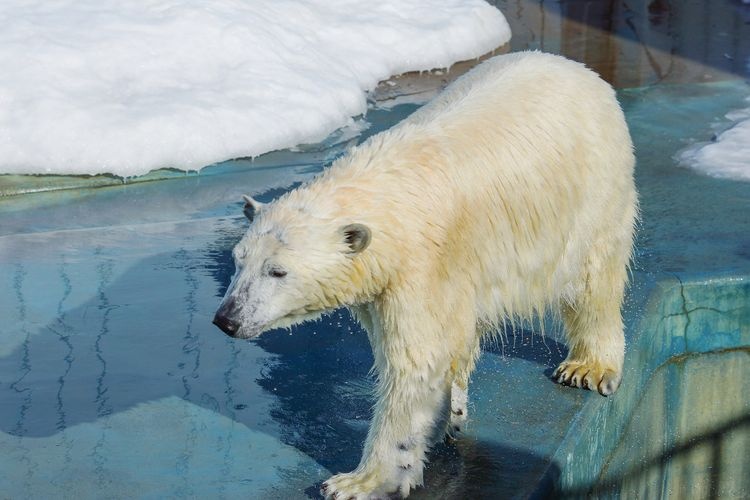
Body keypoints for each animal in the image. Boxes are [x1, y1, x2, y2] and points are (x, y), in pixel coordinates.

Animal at [214, 51, 636, 500]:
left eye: (278, 271)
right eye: (238, 260)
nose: (227, 318)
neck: (387, 197)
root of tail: (578, 69)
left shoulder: (421, 265)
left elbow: (415, 364)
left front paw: (356, 482)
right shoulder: (390, 283)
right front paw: (440, 420)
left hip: (594, 196)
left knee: (593, 282)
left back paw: (588, 368)